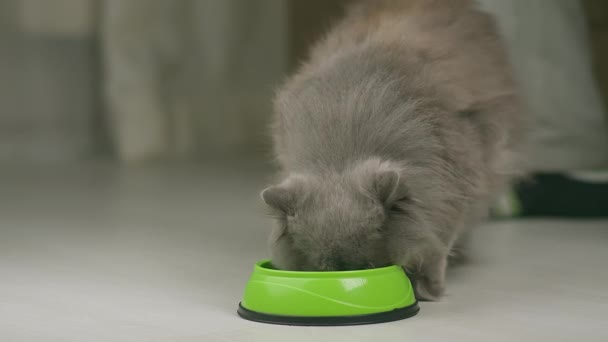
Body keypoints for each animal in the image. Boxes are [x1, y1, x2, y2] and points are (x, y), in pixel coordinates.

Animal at [262, 0, 524, 300]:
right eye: (324, 267)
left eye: (367, 264)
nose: (347, 274)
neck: (341, 156)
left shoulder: (454, 188)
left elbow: (439, 246)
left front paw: (431, 290)